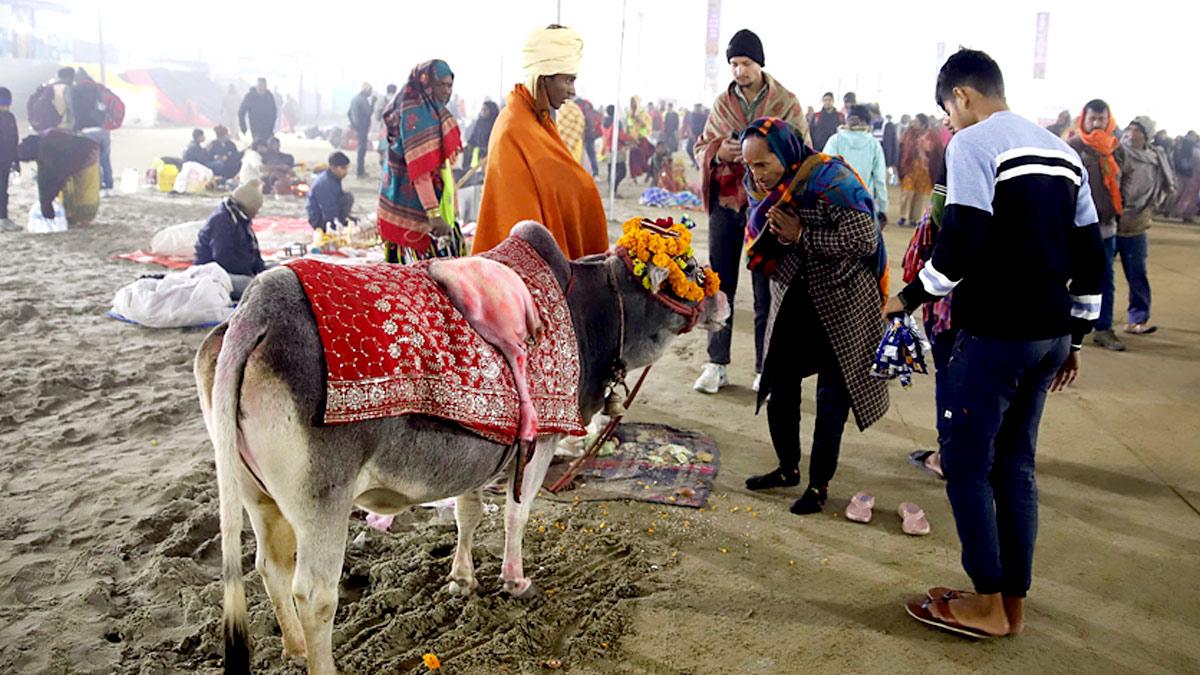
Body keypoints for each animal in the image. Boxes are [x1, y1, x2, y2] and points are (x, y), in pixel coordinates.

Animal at [194, 218, 729, 667]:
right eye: (689, 268)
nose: (723, 299)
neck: (590, 311)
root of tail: (257, 308)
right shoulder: (543, 441)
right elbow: (516, 513)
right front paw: (515, 581)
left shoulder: (483, 446)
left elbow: (467, 514)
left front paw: (462, 578)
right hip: (323, 502)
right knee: (313, 593)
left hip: (256, 495)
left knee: (269, 567)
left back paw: (296, 648)